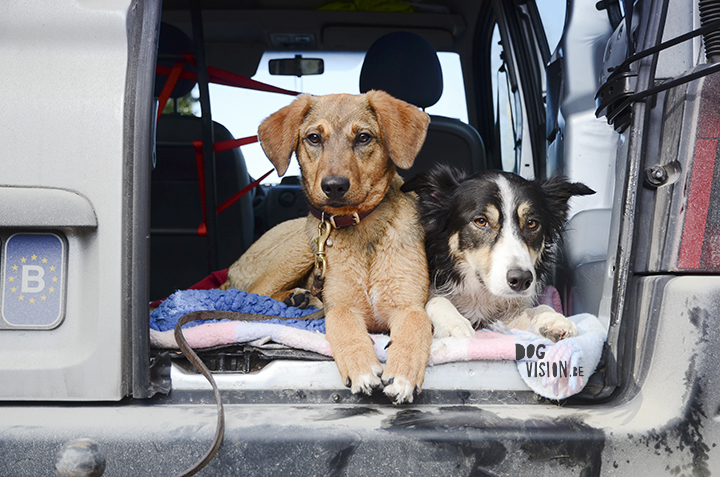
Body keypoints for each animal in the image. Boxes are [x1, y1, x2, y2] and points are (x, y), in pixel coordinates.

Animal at [222, 90, 430, 402]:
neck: (361, 229)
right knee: (254, 293)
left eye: (364, 137)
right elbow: (344, 327)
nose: (334, 186)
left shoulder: (410, 305)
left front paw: (403, 374)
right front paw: (361, 367)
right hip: (301, 247)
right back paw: (296, 297)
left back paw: (301, 297)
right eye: (314, 138)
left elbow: (415, 331)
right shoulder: (342, 306)